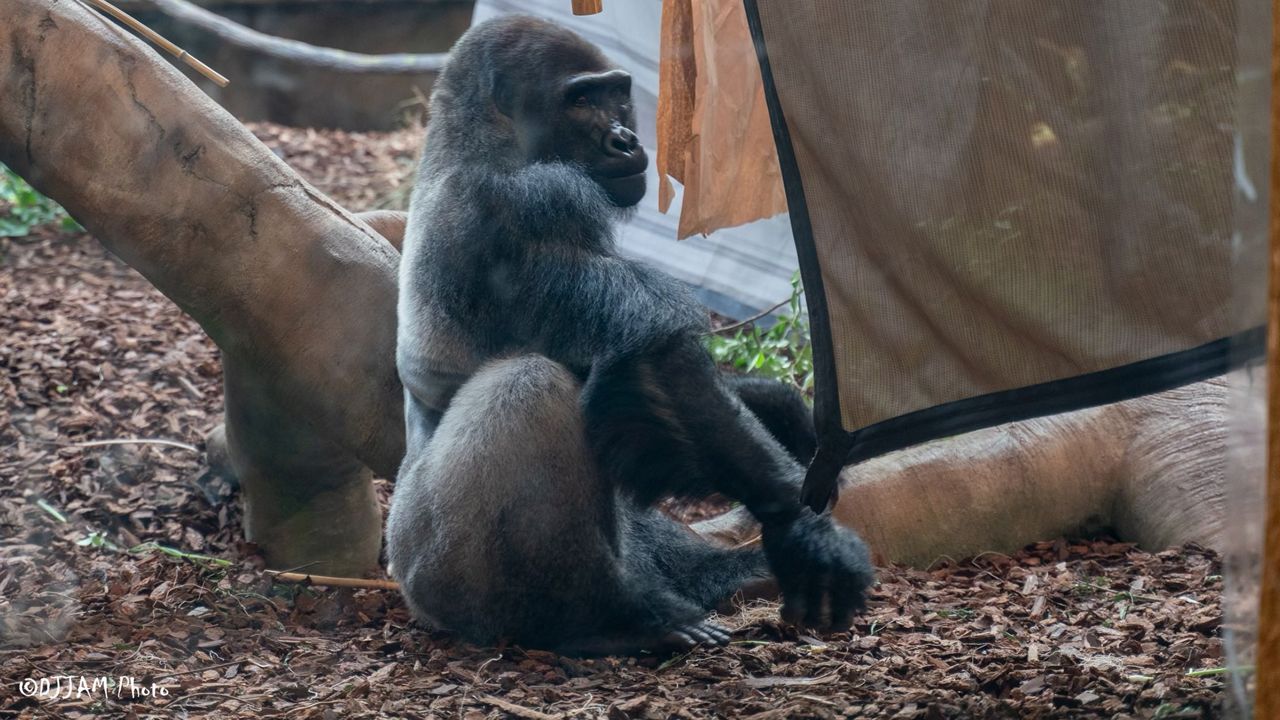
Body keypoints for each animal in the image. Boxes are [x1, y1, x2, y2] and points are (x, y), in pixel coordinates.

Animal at [386, 14, 870, 653]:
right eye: (579, 100)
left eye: (617, 93)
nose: (624, 139)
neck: (477, 139)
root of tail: (403, 591)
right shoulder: (537, 201)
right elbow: (652, 350)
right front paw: (800, 527)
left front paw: (781, 409)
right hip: (434, 576)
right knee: (532, 385)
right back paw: (610, 615)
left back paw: (722, 575)